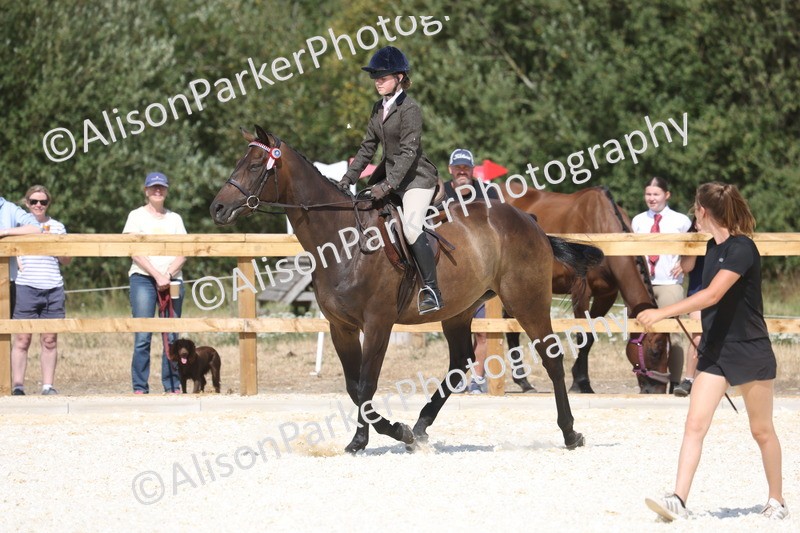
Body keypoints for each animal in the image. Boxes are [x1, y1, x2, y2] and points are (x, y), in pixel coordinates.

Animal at [210, 126, 604, 452]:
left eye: (256, 165)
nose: (217, 208)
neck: (342, 240)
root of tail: (530, 220)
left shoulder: (378, 323)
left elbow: (366, 385)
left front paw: (372, 438)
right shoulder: (341, 327)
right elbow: (354, 387)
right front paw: (391, 434)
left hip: (526, 301)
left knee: (551, 357)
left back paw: (570, 433)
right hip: (460, 310)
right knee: (460, 362)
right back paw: (421, 427)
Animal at [506, 185, 671, 394]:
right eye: (656, 351)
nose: (659, 390)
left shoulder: (606, 295)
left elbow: (590, 336)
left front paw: (580, 378)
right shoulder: (581, 292)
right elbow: (582, 334)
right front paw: (581, 382)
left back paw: (523, 381)